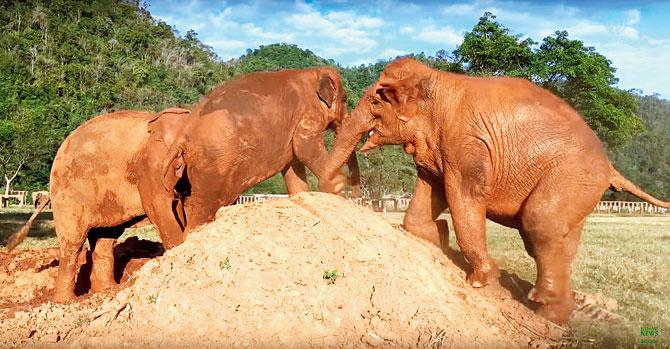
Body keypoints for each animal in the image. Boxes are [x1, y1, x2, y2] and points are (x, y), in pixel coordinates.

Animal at [5, 109, 194, 302]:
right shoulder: (151, 169)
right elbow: (162, 212)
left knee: (105, 239)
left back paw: (106, 290)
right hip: (68, 195)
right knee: (73, 244)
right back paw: (66, 301)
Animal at [163, 66, 360, 232]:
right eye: (345, 99)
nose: (355, 193)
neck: (313, 72)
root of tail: (184, 134)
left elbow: (294, 166)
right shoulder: (307, 113)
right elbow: (304, 146)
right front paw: (337, 184)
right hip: (213, 165)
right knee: (203, 206)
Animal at [322, 57, 668, 324]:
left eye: (376, 102)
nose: (341, 187)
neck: (436, 81)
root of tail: (610, 167)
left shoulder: (465, 146)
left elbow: (464, 197)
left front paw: (479, 281)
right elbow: (426, 200)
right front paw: (442, 237)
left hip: (571, 177)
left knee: (539, 222)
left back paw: (542, 306)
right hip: (580, 189)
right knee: (555, 240)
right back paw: (554, 314)